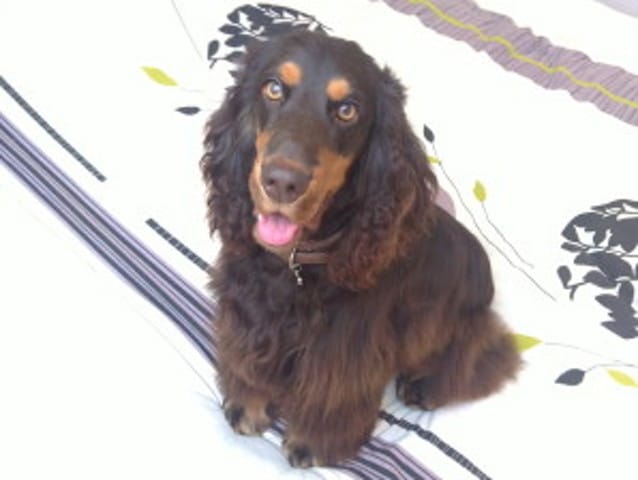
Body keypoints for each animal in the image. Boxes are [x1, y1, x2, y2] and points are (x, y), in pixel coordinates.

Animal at [200, 30, 521, 468]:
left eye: (348, 110)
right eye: (273, 88)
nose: (281, 181)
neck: (296, 263)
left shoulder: (347, 346)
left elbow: (332, 394)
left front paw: (314, 442)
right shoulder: (245, 309)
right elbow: (247, 355)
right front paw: (247, 402)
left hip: (459, 323)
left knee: (480, 356)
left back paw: (425, 384)